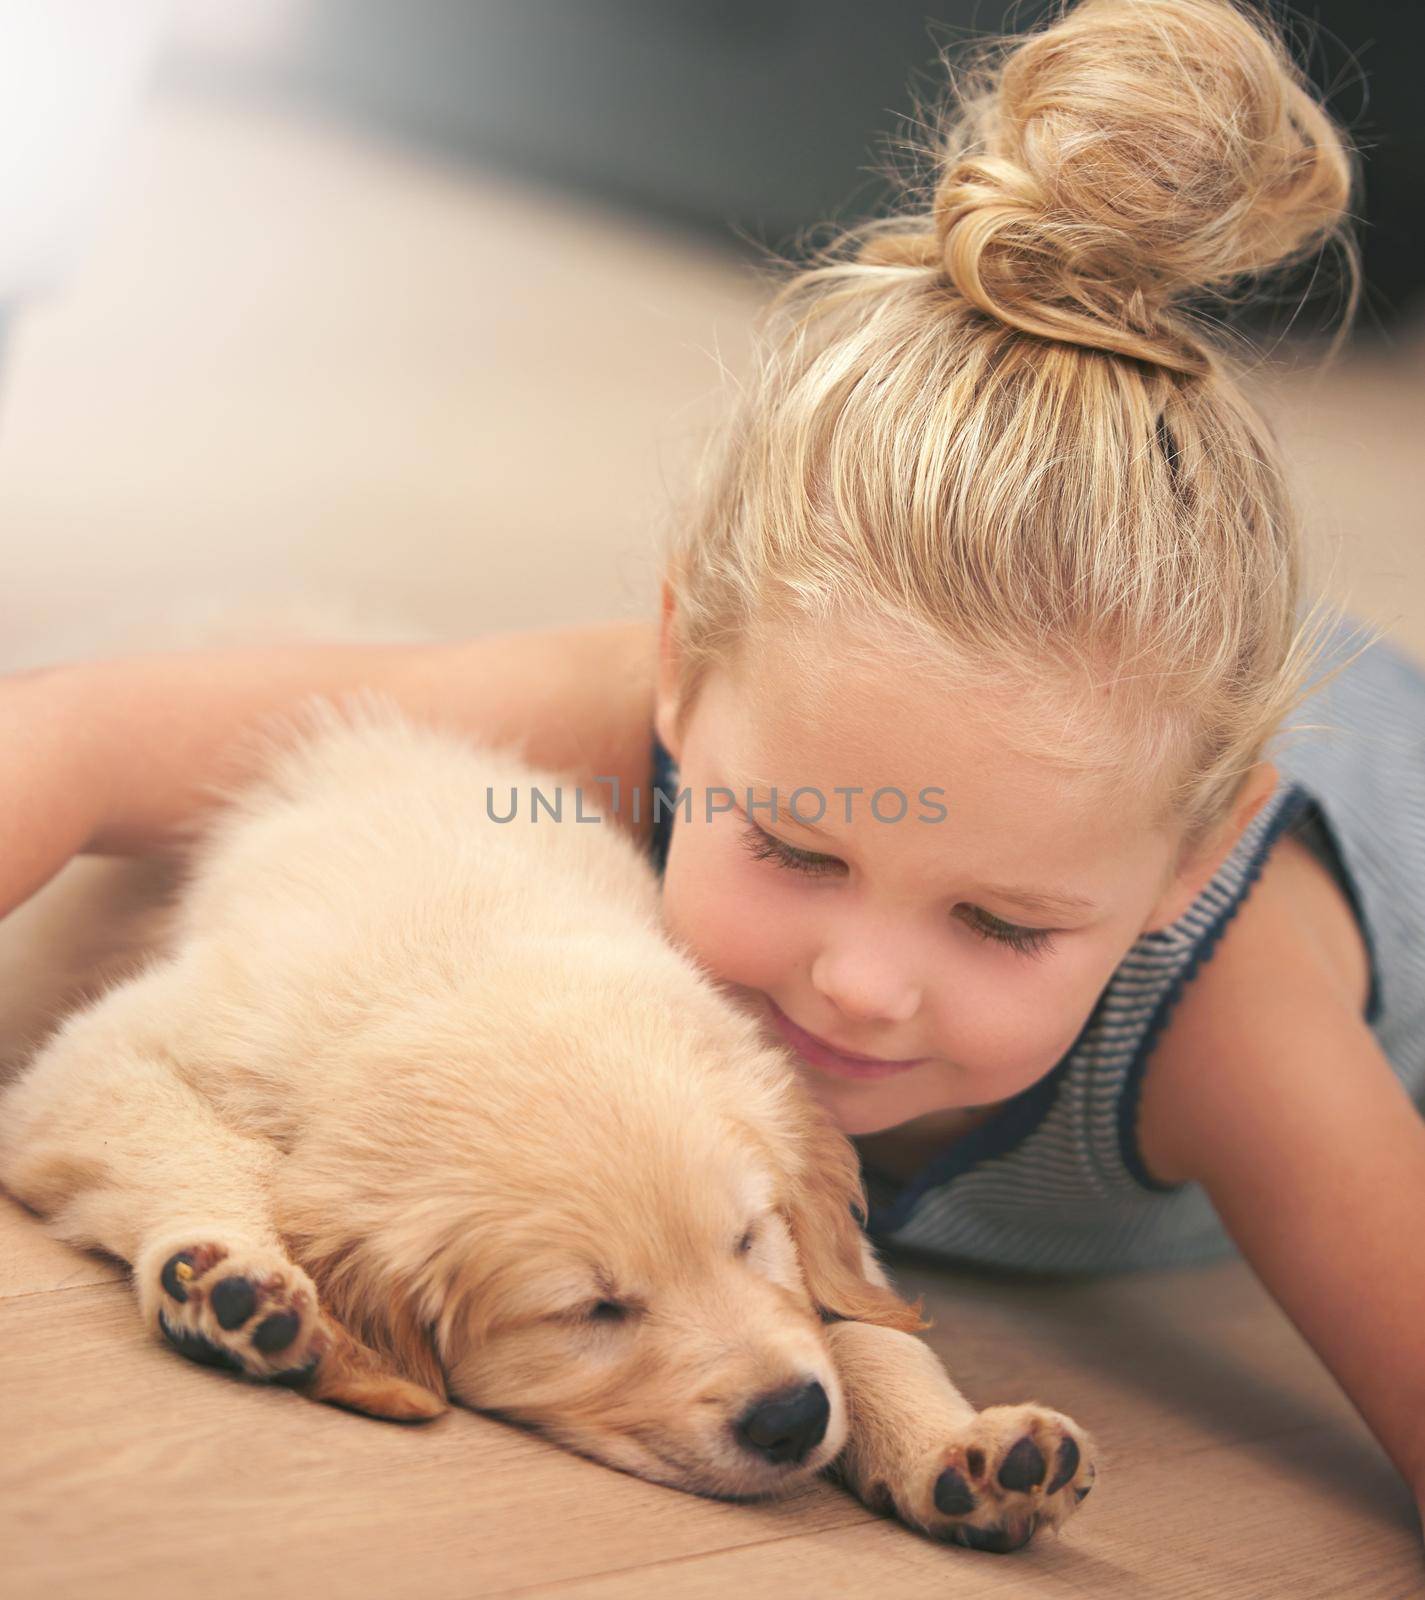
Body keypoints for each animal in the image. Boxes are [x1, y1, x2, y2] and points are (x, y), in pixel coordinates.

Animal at [0, 691, 1100, 1548]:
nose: (791, 1417)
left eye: (750, 1238)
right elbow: (194, 1145)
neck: (460, 946)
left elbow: (859, 1322)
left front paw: (963, 1448)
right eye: (589, 1311)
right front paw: (237, 1277)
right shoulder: (104, 1054)